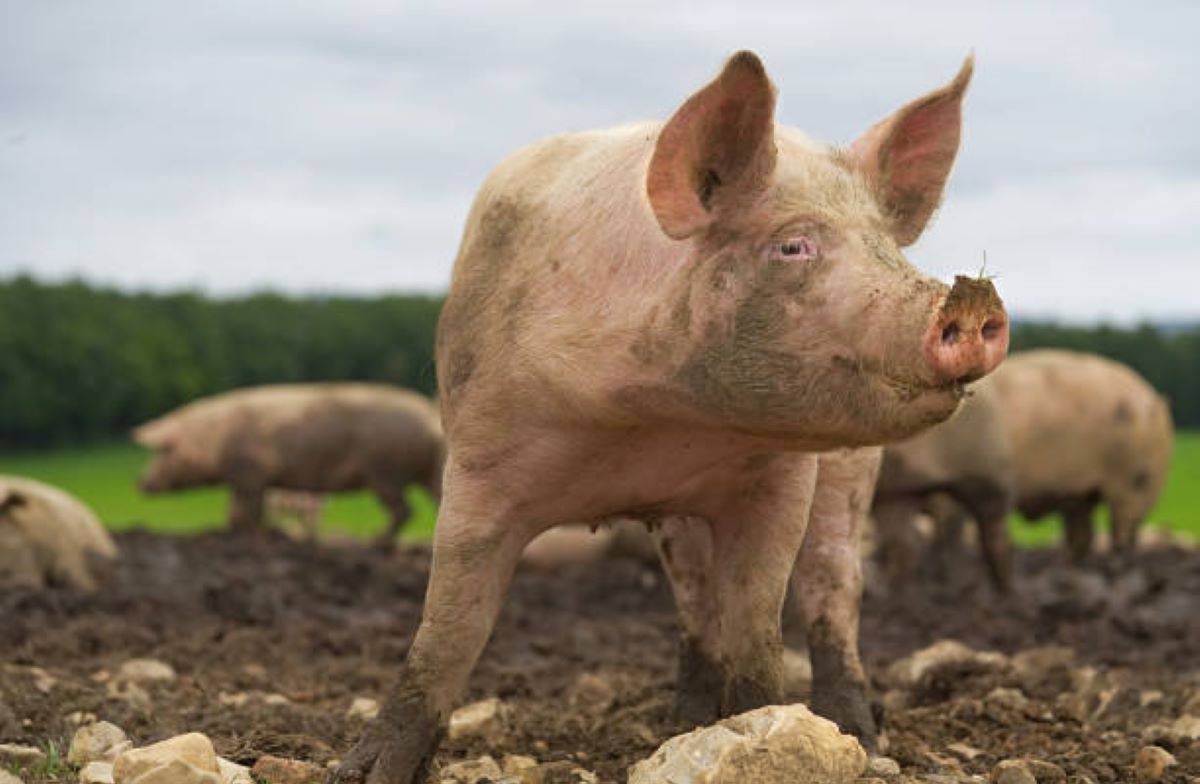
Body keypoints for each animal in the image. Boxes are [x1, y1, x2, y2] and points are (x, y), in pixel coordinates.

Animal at [133, 384, 443, 545]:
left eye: (162, 451)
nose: (140, 483)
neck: (214, 438)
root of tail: (429, 416)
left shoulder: (252, 471)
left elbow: (248, 511)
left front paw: (253, 536)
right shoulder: (243, 478)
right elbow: (236, 512)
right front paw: (236, 534)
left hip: (385, 471)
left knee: (404, 510)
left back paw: (375, 543)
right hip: (426, 471)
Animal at [332, 51, 1008, 784]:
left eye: (889, 246)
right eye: (792, 246)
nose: (971, 296)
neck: (657, 427)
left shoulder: (780, 480)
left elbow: (758, 621)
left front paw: (766, 732)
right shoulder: (479, 460)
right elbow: (450, 628)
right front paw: (363, 772)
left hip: (852, 470)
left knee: (832, 582)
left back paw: (856, 733)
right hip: (679, 522)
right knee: (694, 596)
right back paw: (681, 723)